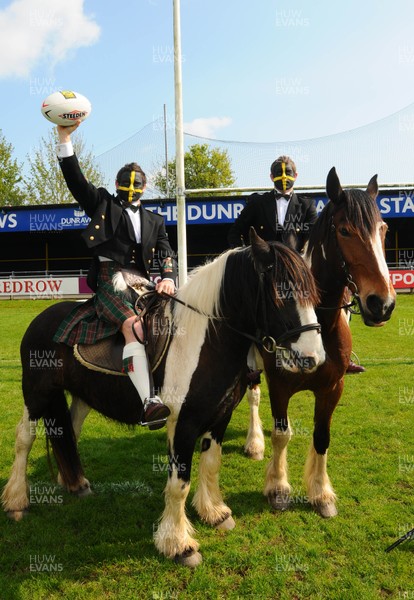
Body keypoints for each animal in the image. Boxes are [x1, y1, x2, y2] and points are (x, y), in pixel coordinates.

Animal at [2, 231, 326, 568]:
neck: (205, 342)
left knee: (70, 434)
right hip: (35, 393)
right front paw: (178, 543)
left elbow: (211, 463)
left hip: (81, 397)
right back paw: (16, 501)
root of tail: (41, 318)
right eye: (281, 294)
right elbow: (179, 484)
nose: (313, 357)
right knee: (24, 438)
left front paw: (214, 512)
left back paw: (76, 484)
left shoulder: (219, 417)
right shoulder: (183, 423)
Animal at [244, 166, 396, 516]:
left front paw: (321, 494)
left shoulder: (332, 388)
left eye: (383, 229)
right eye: (345, 230)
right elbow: (281, 435)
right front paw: (278, 489)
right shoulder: (279, 386)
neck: (317, 324)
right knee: (253, 397)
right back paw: (254, 442)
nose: (382, 303)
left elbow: (321, 436)